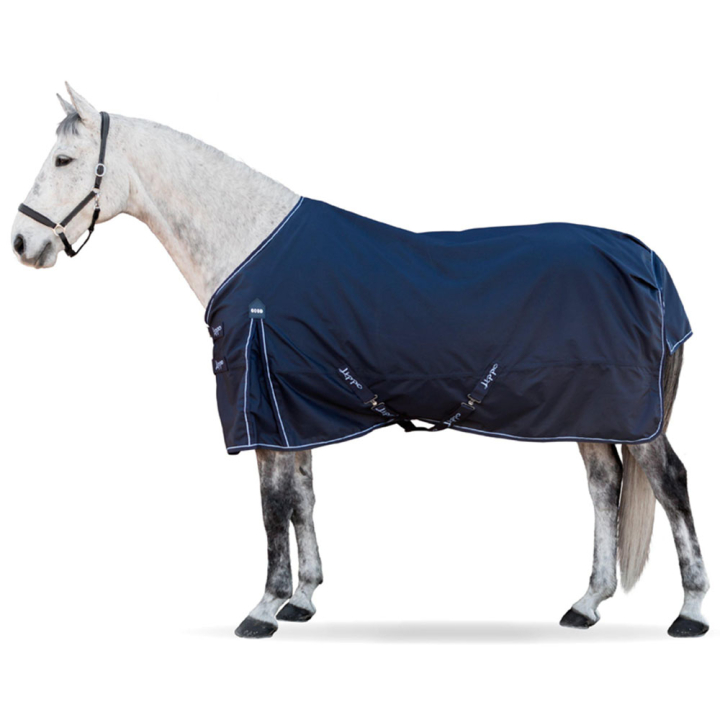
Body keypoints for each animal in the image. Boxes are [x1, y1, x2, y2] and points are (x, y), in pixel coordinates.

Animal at [11, 85, 709, 639]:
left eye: (65, 160)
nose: (22, 242)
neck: (250, 249)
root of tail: (645, 259)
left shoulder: (261, 406)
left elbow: (272, 505)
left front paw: (263, 609)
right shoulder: (292, 410)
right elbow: (302, 497)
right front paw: (302, 599)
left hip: (631, 414)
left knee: (669, 483)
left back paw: (691, 612)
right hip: (591, 409)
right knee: (604, 485)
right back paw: (587, 603)